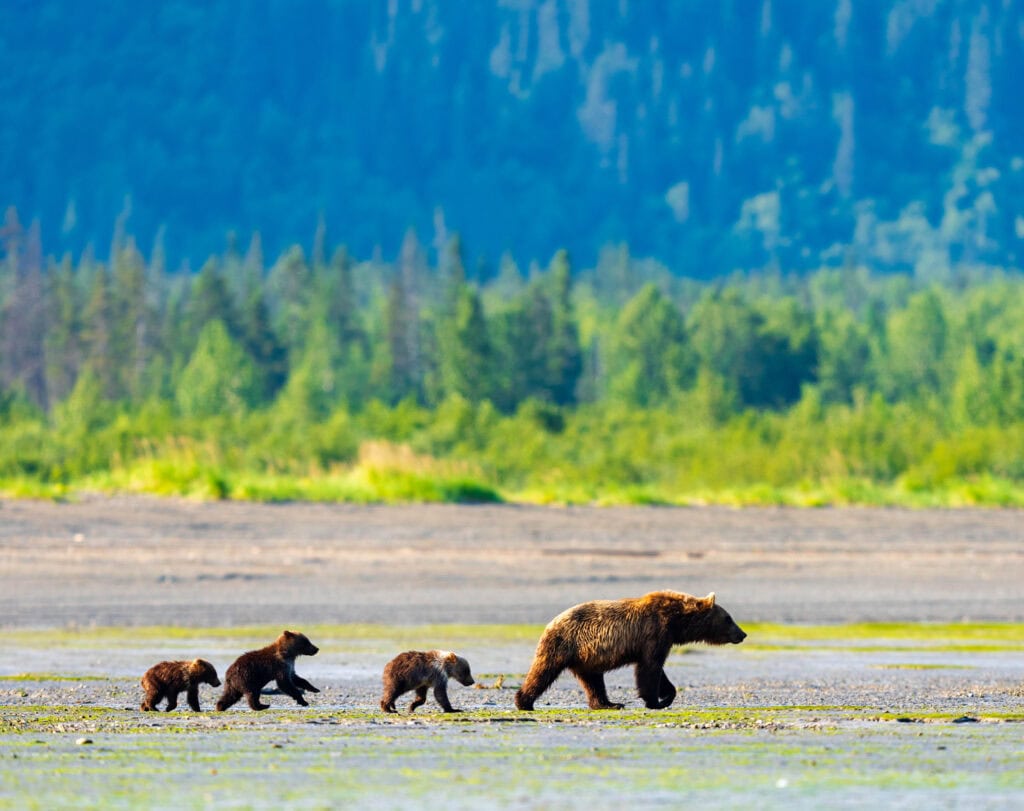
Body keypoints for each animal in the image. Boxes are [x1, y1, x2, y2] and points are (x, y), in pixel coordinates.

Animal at [514, 591, 745, 711]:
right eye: (729, 618)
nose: (742, 634)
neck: (676, 621)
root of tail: (550, 622)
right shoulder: (654, 632)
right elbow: (650, 668)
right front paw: (654, 701)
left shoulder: (661, 638)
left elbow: (658, 670)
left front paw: (666, 696)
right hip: (564, 644)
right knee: (543, 671)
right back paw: (524, 702)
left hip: (586, 658)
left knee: (593, 681)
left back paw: (609, 704)